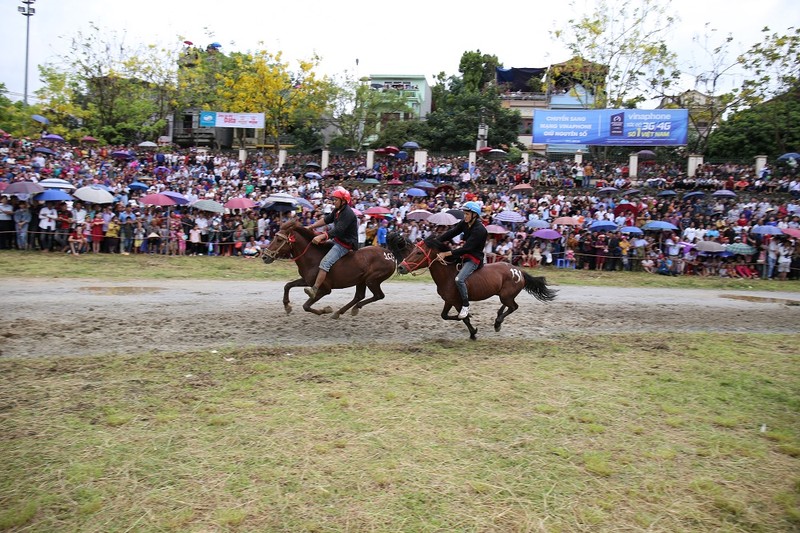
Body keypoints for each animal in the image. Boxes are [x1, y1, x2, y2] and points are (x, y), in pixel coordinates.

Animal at [260, 219, 406, 316]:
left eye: (279, 240)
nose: (265, 257)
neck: (313, 257)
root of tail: (389, 253)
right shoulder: (307, 280)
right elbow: (288, 285)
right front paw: (287, 306)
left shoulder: (324, 289)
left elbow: (306, 305)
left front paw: (324, 310)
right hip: (361, 280)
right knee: (359, 296)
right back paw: (342, 311)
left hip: (372, 280)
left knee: (378, 295)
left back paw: (351, 309)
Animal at [390, 234, 556, 338]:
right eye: (412, 250)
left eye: (418, 253)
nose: (401, 267)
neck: (448, 275)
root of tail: (519, 271)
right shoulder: (449, 301)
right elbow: (445, 316)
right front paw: (469, 323)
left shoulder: (458, 302)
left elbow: (463, 318)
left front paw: (473, 332)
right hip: (504, 295)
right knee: (507, 306)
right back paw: (498, 318)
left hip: (506, 296)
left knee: (513, 307)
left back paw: (498, 322)